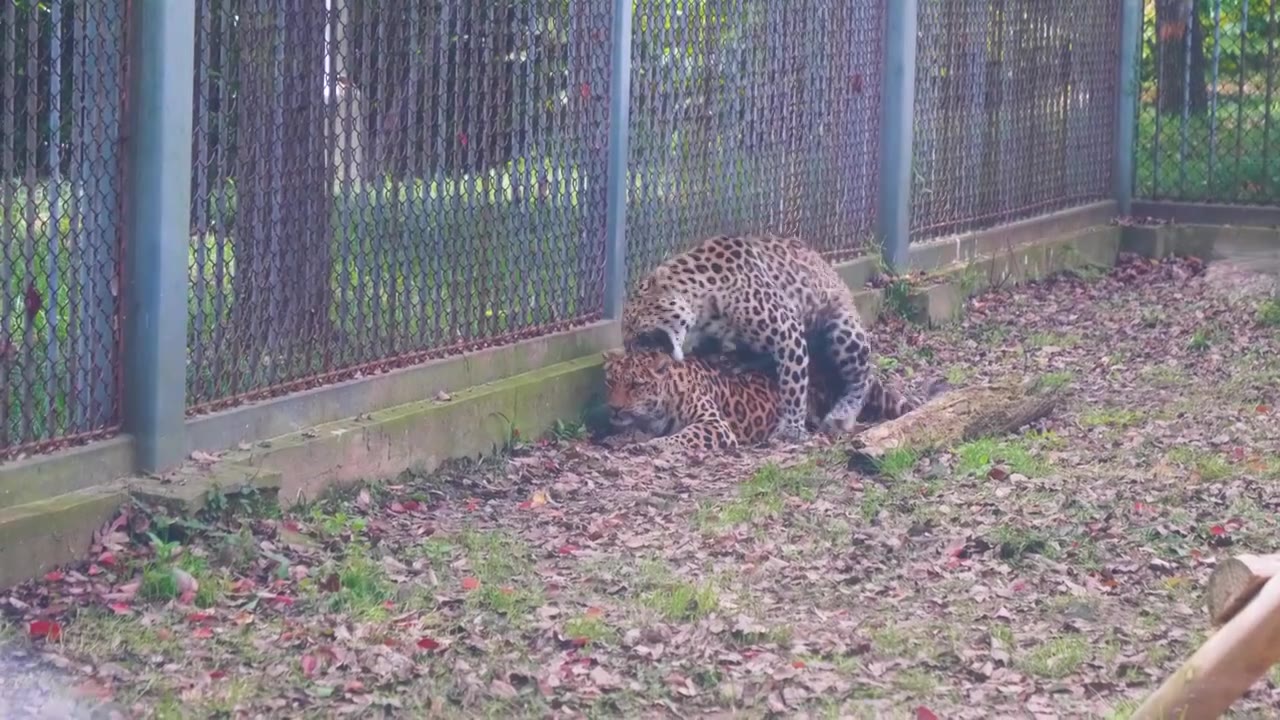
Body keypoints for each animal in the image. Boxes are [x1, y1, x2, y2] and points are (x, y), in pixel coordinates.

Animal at [622, 233, 880, 440]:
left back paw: (843, 414)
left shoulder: (787, 330)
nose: (629, 351)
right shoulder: (710, 341)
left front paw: (792, 428)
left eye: (633, 325)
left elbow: (794, 383)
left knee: (864, 377)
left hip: (844, 329)